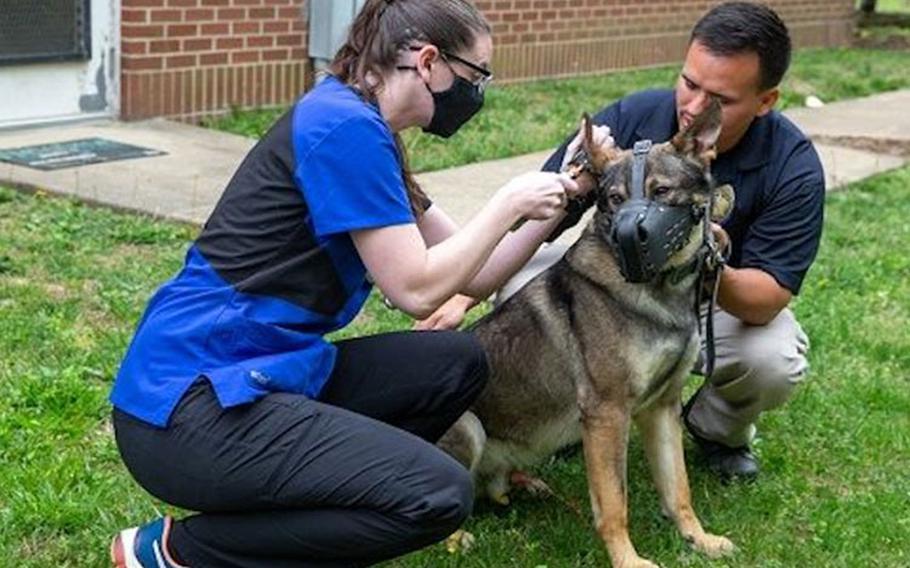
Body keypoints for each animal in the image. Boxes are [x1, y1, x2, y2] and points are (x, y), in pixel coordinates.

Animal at [444, 103, 740, 568]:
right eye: (615, 198)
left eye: (661, 191)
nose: (631, 237)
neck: (659, 292)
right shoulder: (607, 414)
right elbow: (614, 504)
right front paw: (628, 562)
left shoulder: (662, 408)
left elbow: (679, 489)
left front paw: (699, 540)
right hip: (469, 427)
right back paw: (456, 536)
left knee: (492, 486)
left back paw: (522, 483)